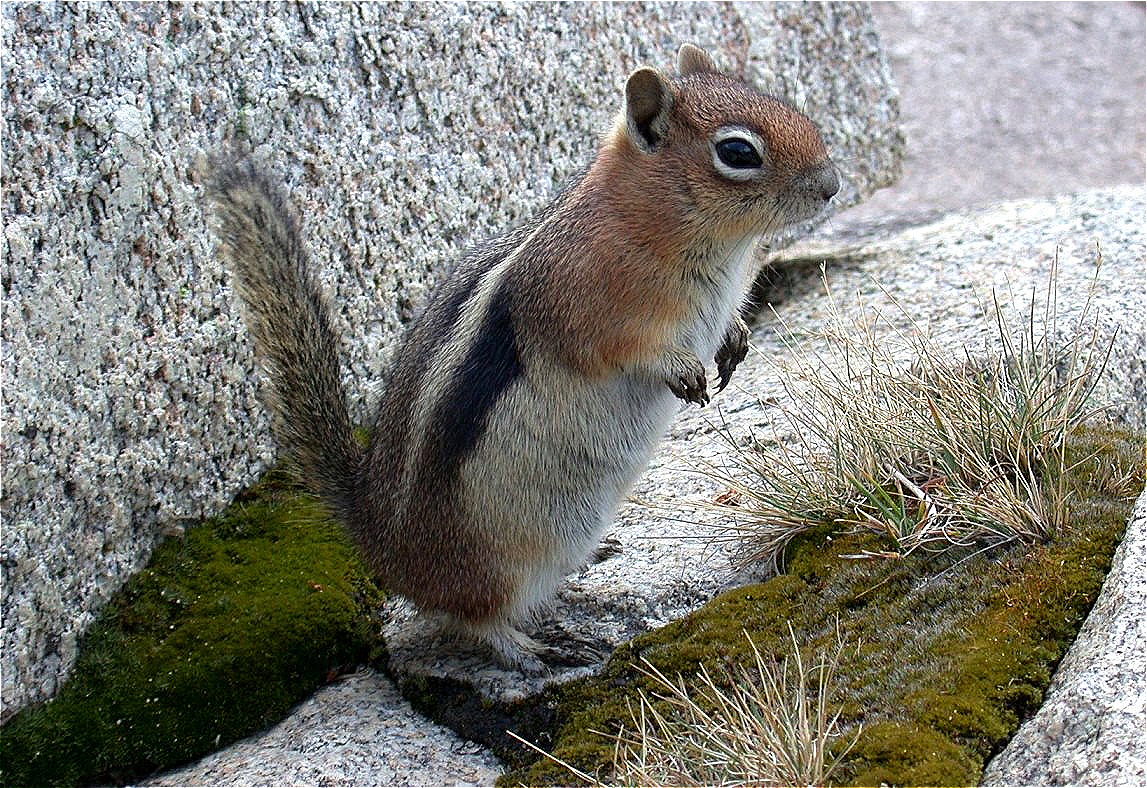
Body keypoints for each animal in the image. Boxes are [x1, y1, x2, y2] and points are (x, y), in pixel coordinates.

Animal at [208, 43, 839, 674]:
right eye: (738, 152)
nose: (832, 185)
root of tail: (374, 535)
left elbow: (728, 327)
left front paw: (734, 340)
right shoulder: (586, 307)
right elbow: (623, 350)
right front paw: (681, 369)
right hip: (497, 558)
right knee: (471, 618)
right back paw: (535, 647)